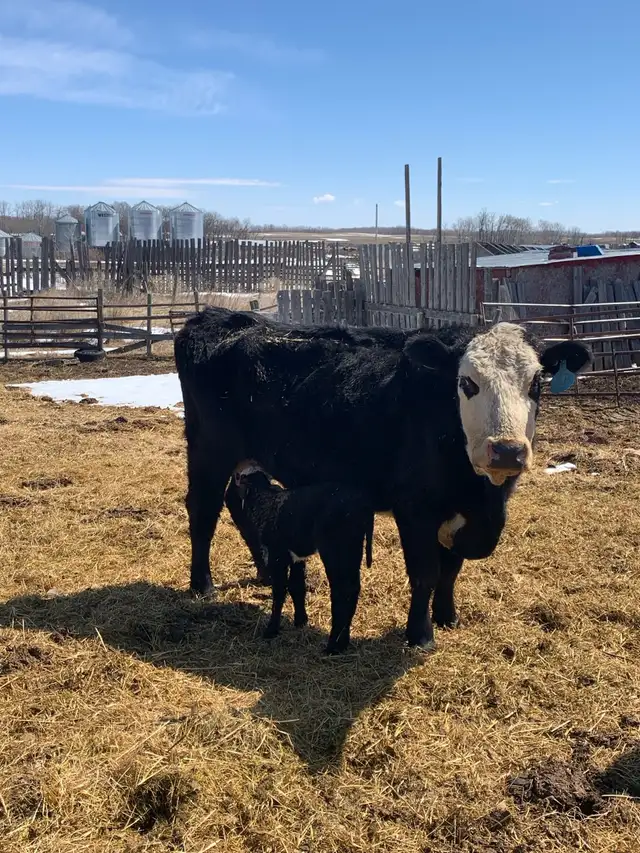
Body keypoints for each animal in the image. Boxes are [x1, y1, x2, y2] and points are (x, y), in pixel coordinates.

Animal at [225, 462, 374, 653]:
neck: (265, 500)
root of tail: (363, 507)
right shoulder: (295, 557)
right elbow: (297, 586)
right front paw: (300, 620)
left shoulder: (276, 555)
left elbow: (280, 589)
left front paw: (272, 629)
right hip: (353, 550)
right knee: (353, 589)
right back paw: (343, 641)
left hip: (335, 549)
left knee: (342, 591)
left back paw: (333, 646)